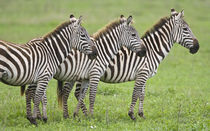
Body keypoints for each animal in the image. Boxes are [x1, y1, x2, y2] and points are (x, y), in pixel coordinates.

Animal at [55, 8, 199, 120]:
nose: (197, 47)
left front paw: (141, 114)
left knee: (70, 93)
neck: (152, 50)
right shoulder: (142, 73)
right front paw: (132, 114)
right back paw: (77, 115)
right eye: (186, 29)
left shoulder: (144, 75)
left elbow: (142, 94)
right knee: (73, 92)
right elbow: (135, 93)